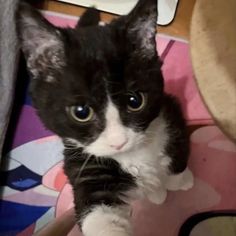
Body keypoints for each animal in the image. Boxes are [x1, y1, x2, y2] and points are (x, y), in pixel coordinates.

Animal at [16, 0, 194, 235]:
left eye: (135, 101)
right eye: (81, 112)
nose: (119, 142)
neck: (133, 155)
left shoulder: (171, 114)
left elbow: (177, 156)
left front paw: (180, 181)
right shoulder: (84, 164)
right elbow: (100, 213)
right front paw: (161, 191)